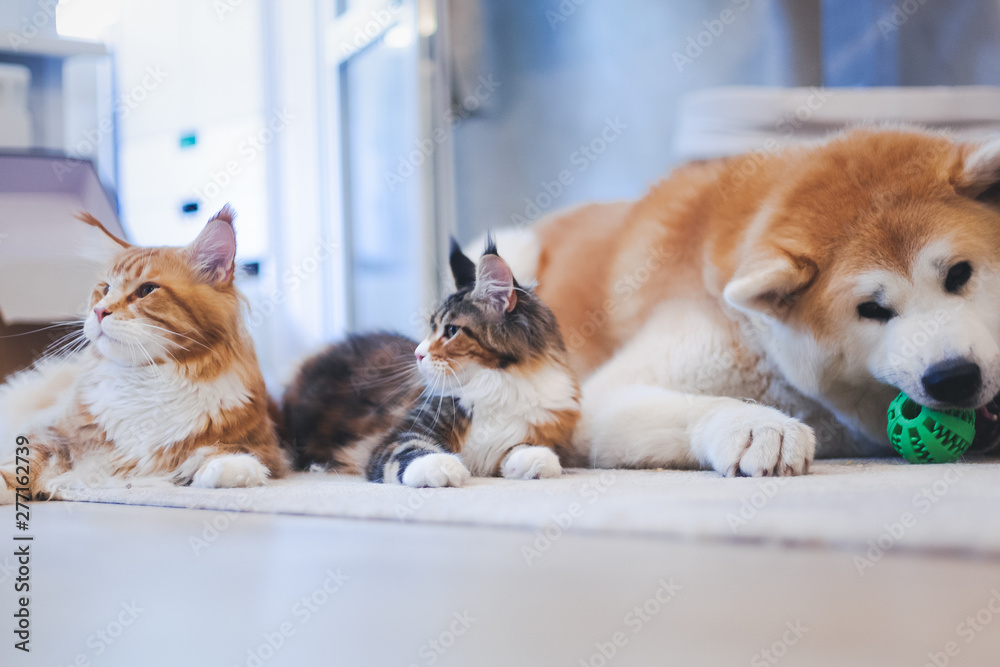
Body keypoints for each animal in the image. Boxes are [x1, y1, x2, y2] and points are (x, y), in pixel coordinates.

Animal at [0, 209, 290, 500]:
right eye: (105, 289)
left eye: (147, 290)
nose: (99, 311)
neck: (146, 376)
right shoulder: (48, 434)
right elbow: (22, 464)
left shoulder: (265, 446)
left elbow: (221, 452)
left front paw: (230, 467)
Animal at [282, 239, 580, 486]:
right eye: (431, 327)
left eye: (451, 330)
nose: (418, 353)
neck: (495, 385)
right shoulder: (403, 432)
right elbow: (411, 450)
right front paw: (441, 466)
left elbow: (522, 448)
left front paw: (537, 460)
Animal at [496, 128, 1000, 478]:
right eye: (871, 309)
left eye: (959, 274)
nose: (953, 377)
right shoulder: (596, 399)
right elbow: (698, 405)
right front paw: (757, 426)